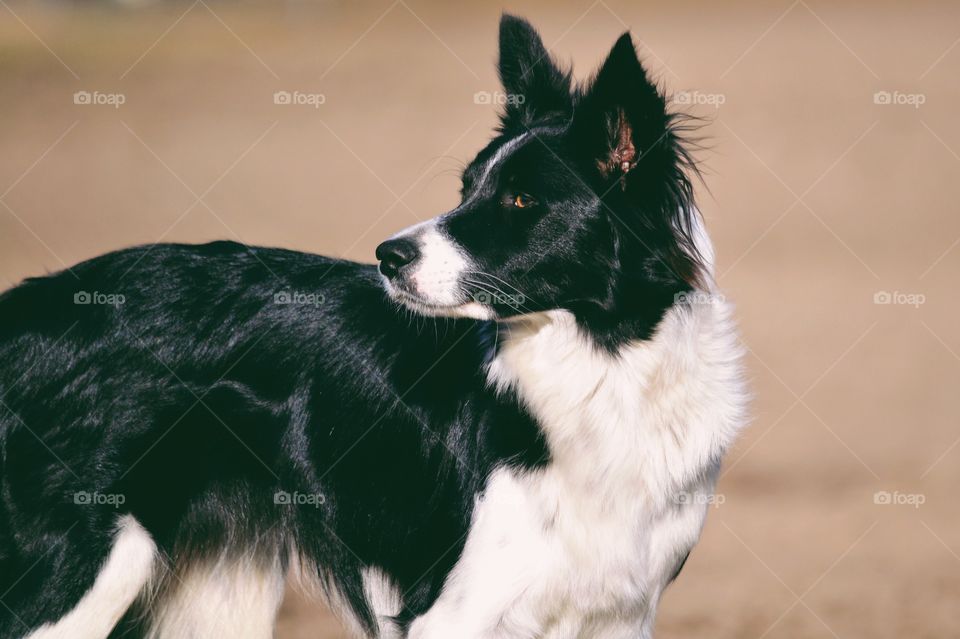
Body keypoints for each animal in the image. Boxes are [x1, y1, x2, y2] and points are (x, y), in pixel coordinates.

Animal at [0, 13, 748, 639]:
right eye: (467, 187)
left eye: (521, 201)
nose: (388, 255)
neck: (603, 363)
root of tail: (31, 302)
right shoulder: (453, 612)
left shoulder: (617, 613)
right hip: (83, 569)